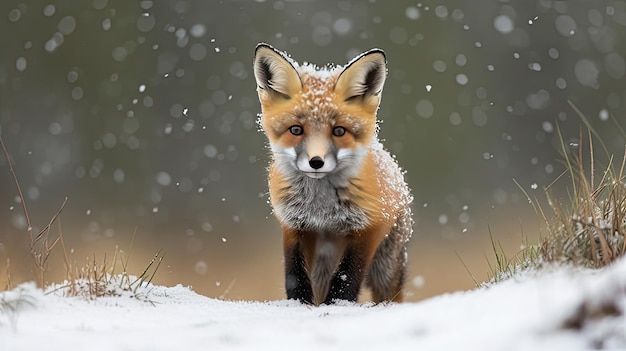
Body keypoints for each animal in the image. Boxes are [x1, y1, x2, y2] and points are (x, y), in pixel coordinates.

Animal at [251, 44, 412, 306]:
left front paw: (338, 305)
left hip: (385, 266)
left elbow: (347, 276)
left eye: (339, 131)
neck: (321, 208)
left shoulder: (369, 227)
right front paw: (300, 305)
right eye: (296, 130)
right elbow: (294, 275)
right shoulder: (293, 225)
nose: (316, 162)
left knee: (389, 294)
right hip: (322, 263)